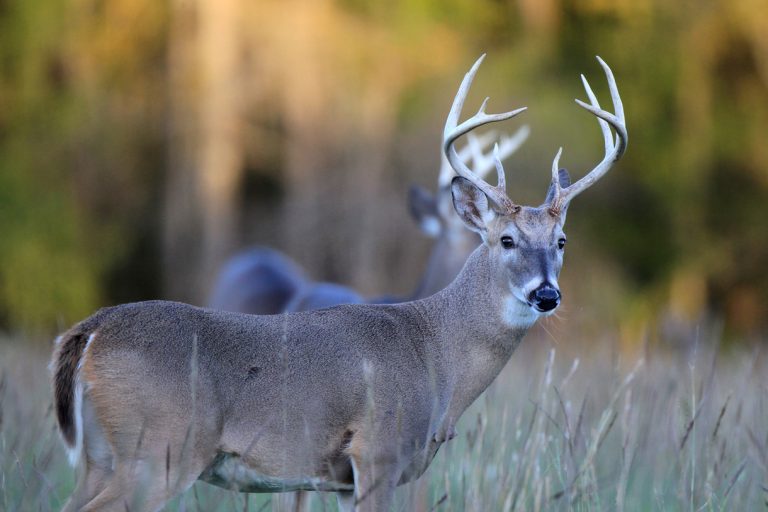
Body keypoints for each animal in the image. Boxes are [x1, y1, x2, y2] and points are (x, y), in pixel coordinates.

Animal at [51, 54, 626, 512]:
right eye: (506, 239)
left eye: (562, 240)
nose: (546, 294)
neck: (438, 355)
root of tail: (90, 331)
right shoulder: (378, 451)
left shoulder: (345, 479)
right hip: (159, 450)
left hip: (100, 458)